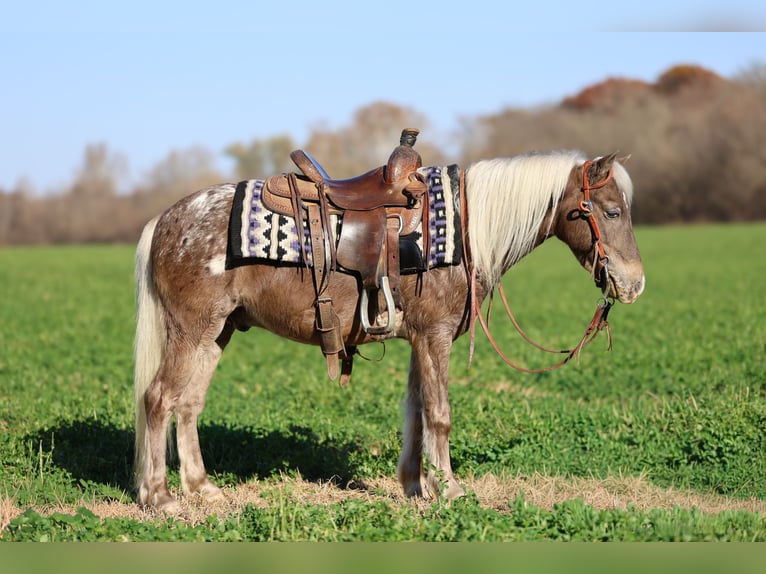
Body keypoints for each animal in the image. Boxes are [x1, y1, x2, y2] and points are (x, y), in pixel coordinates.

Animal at [133, 149, 645, 511]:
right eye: (611, 212)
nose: (635, 283)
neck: (463, 233)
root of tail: (165, 220)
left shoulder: (421, 339)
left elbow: (416, 411)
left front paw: (416, 486)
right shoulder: (436, 336)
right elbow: (439, 413)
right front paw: (450, 489)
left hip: (216, 334)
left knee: (188, 404)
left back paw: (202, 488)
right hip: (191, 331)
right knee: (158, 400)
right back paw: (159, 497)